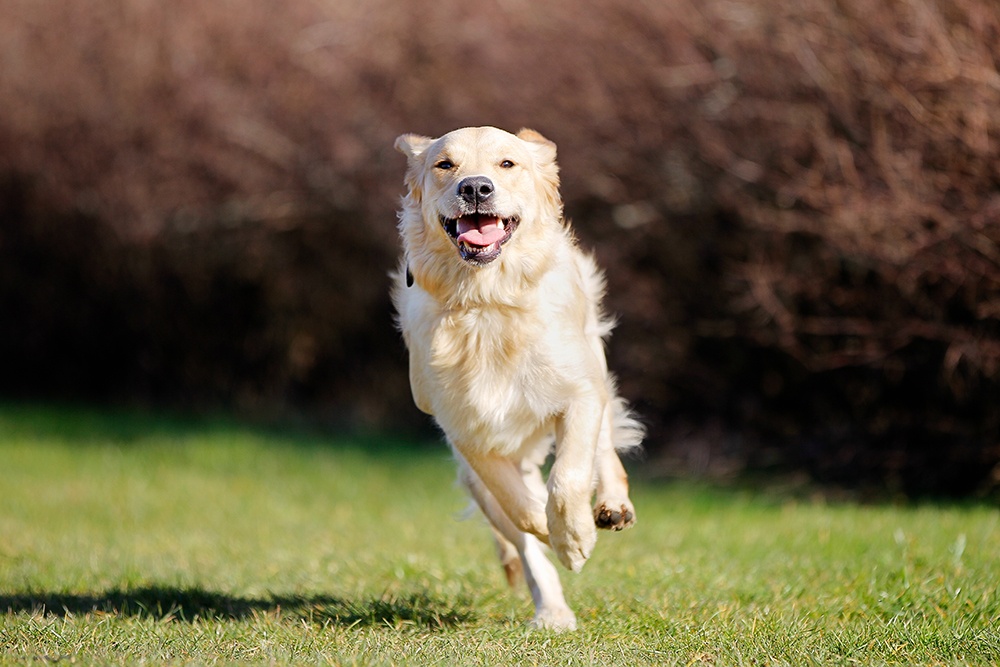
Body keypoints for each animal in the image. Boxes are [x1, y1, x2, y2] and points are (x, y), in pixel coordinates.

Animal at [390, 126, 640, 632]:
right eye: (445, 164)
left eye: (507, 163)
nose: (475, 188)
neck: (488, 301)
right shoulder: (468, 430)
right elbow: (522, 509)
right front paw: (557, 535)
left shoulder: (579, 392)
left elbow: (568, 478)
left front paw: (575, 534)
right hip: (477, 475)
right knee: (519, 535)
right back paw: (554, 612)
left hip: (593, 358)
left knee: (603, 447)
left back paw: (611, 507)